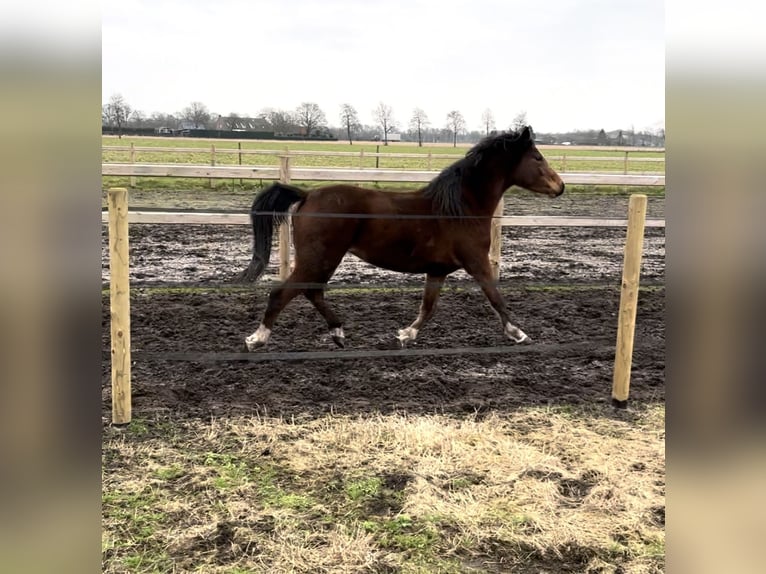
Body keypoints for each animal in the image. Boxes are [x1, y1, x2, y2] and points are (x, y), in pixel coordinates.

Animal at [238, 126, 564, 352]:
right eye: (537, 157)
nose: (560, 186)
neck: (462, 208)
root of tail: (306, 194)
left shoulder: (437, 270)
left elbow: (428, 307)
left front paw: (406, 334)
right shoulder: (477, 262)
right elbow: (495, 297)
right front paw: (518, 333)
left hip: (324, 259)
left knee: (312, 292)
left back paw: (338, 333)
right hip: (320, 257)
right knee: (284, 293)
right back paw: (256, 339)